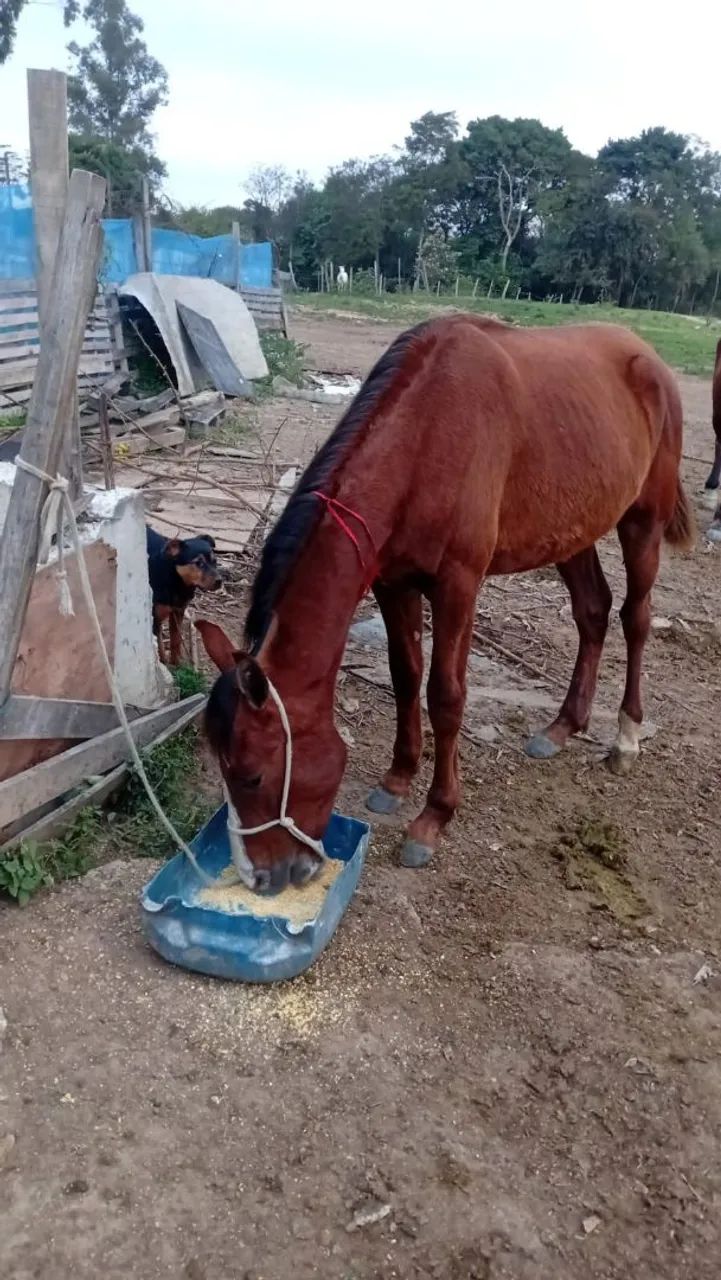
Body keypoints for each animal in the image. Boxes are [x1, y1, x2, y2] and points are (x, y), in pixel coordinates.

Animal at [196, 314, 694, 893]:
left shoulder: (459, 585)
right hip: (573, 530)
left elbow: (446, 696)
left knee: (635, 618)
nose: (260, 878)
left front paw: (433, 817)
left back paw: (626, 736)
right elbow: (405, 676)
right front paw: (397, 778)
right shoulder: (394, 583)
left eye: (252, 775)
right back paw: (562, 726)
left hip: (643, 521)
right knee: (592, 612)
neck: (424, 439)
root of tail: (647, 356)